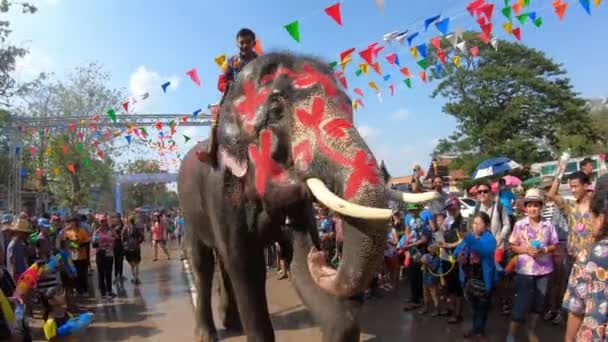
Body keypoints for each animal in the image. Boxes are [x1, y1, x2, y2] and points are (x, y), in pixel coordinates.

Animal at [177, 51, 436, 342]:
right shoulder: (222, 192)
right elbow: (245, 266)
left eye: (350, 107)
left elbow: (300, 261)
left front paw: (309, 258)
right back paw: (208, 333)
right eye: (276, 112)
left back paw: (231, 322)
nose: (323, 258)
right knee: (202, 262)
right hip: (188, 209)